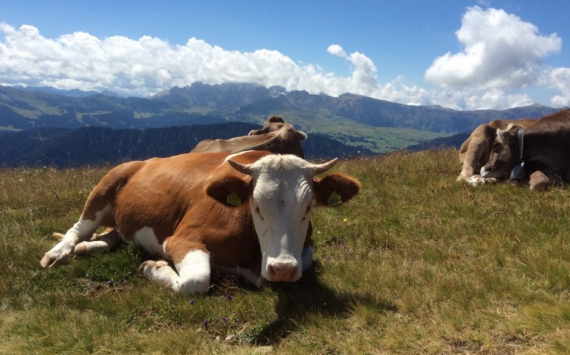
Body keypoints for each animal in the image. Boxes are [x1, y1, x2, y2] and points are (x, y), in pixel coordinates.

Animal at [41, 150, 360, 294]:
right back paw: (60, 252)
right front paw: (154, 267)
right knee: (78, 229)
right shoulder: (183, 239)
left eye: (308, 207)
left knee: (114, 234)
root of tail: (144, 161)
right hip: (105, 186)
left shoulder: (304, 249)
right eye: (256, 206)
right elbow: (195, 281)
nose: (281, 268)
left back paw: (89, 247)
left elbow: (302, 265)